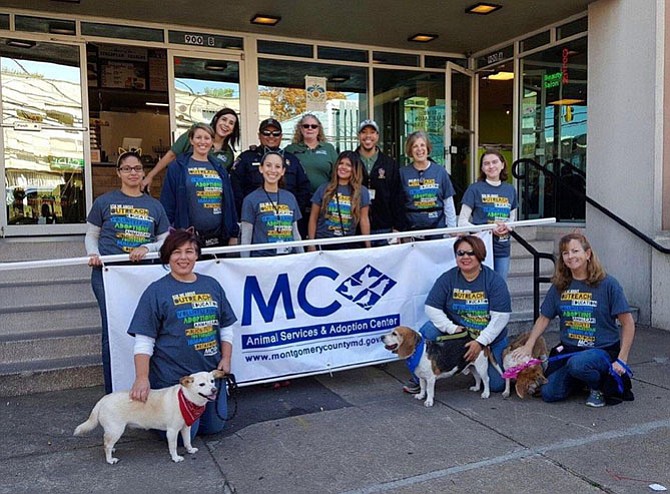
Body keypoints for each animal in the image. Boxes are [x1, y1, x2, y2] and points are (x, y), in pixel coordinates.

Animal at [75, 370, 224, 464]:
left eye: (212, 381)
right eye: (202, 384)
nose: (214, 390)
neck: (186, 398)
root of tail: (102, 400)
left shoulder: (186, 428)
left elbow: (187, 441)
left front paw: (190, 450)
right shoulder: (172, 431)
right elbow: (173, 446)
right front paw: (175, 458)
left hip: (113, 431)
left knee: (107, 442)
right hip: (116, 430)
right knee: (106, 444)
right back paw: (110, 459)